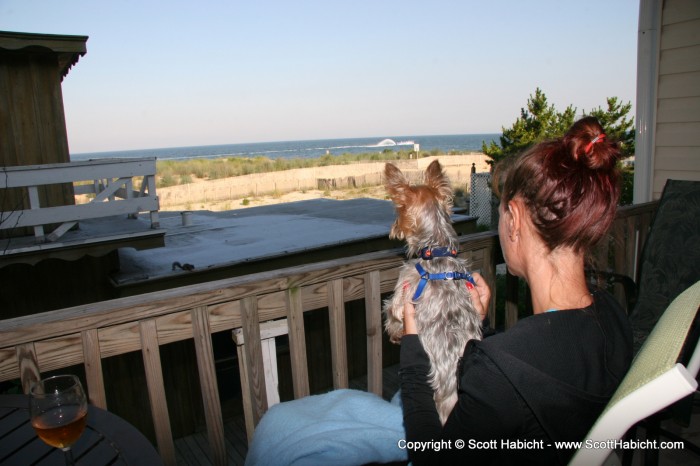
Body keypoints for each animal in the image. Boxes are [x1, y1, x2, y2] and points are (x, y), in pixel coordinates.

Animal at [382, 158, 482, 424]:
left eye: (398, 211)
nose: (393, 228)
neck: (436, 249)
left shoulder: (402, 293)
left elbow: (391, 313)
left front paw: (395, 334)